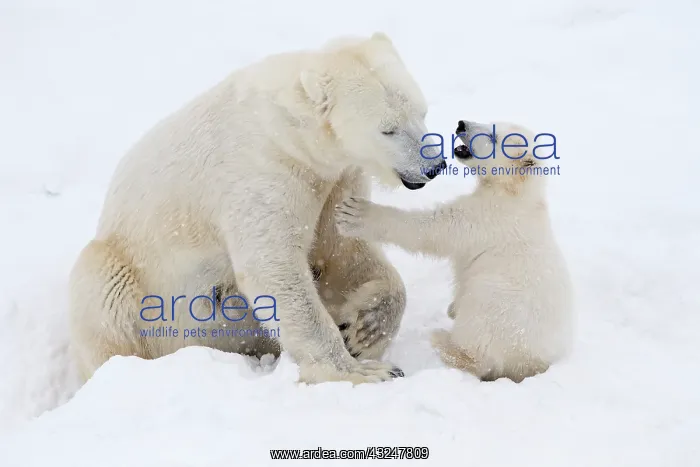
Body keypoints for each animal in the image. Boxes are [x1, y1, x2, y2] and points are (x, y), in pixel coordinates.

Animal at [67, 32, 447, 385]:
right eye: (388, 129)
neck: (290, 129)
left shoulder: (336, 178)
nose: (434, 165)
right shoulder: (262, 170)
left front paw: (363, 329)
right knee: (103, 292)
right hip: (127, 269)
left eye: (422, 112)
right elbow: (274, 267)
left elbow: (343, 249)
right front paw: (364, 371)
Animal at [334, 120, 574, 382]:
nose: (462, 124)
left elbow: (435, 229)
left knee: (480, 344)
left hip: (499, 307)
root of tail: (531, 365)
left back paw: (442, 339)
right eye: (491, 123)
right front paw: (452, 307)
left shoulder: (488, 217)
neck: (516, 193)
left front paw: (355, 213)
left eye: (493, 136)